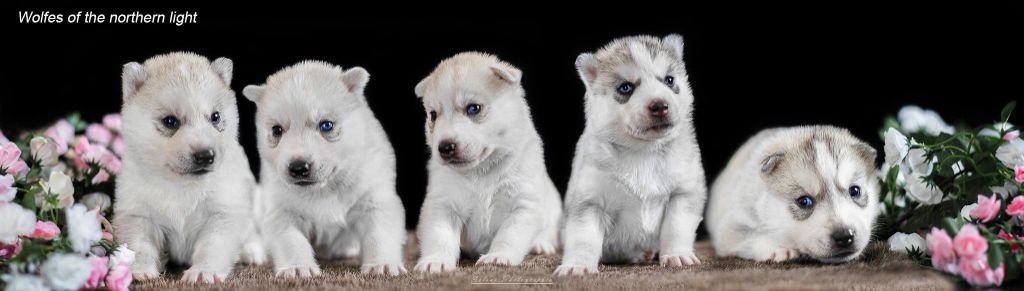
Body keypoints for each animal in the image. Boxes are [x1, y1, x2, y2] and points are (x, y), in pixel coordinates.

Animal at [110, 51, 256, 282]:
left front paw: (203, 271)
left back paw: (251, 251)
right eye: (170, 121)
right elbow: (140, 246)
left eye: (215, 117)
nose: (205, 155)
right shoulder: (137, 214)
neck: (181, 184)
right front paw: (140, 269)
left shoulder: (224, 212)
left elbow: (211, 246)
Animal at [243, 60, 407, 276]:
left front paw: (382, 264)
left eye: (326, 125)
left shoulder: (376, 198)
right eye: (277, 130)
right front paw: (297, 267)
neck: (324, 189)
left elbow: (379, 233)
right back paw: (251, 251)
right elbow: (291, 240)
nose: (298, 167)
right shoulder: (280, 209)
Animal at [411, 52, 565, 272]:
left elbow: (509, 235)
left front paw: (498, 257)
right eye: (433, 115)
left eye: (473, 108)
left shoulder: (523, 205)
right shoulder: (443, 204)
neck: (481, 171)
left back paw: (540, 245)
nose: (445, 147)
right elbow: (439, 235)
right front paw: (435, 261)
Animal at [557, 34, 708, 274]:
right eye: (626, 88)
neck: (644, 151)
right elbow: (583, 237)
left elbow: (676, 227)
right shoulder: (589, 200)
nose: (660, 105)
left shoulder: (684, 191)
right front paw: (577, 265)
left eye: (669, 80)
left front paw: (677, 255)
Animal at [704, 125, 880, 264]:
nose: (844, 236)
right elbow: (752, 237)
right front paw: (778, 248)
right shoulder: (731, 227)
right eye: (804, 201)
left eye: (855, 191)